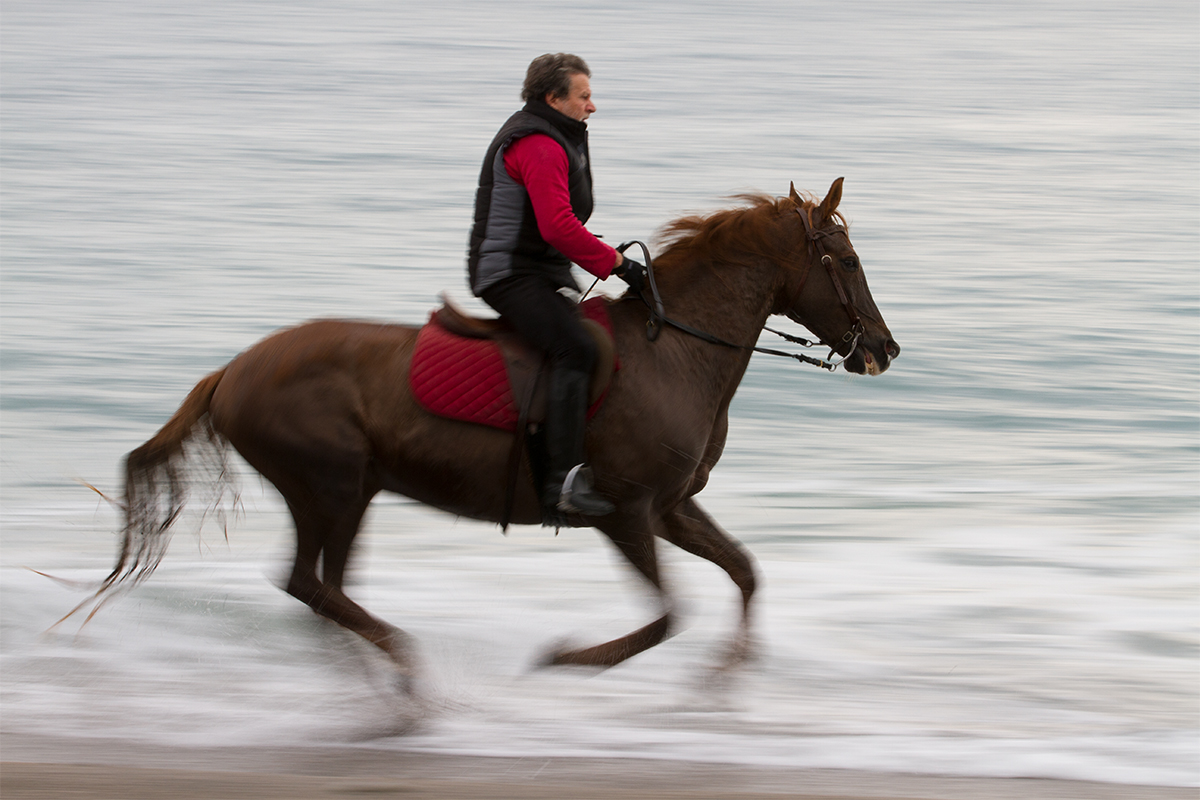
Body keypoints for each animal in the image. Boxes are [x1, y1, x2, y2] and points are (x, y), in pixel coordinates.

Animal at [75, 179, 897, 681]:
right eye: (848, 259)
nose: (884, 349)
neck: (675, 351)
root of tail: (233, 371)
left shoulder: (669, 507)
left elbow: (744, 573)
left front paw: (726, 680)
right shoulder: (626, 512)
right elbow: (668, 617)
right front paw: (565, 659)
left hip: (346, 491)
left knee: (320, 589)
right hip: (331, 487)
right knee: (312, 585)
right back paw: (406, 671)